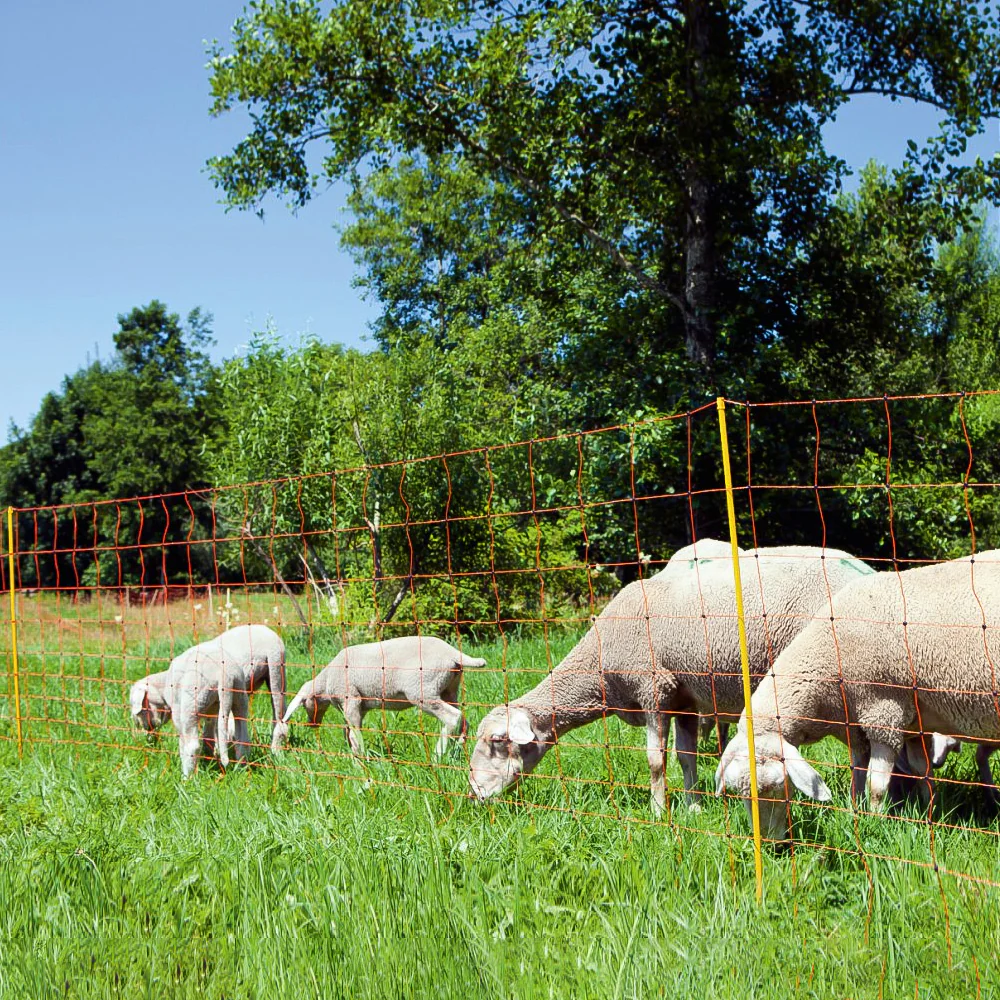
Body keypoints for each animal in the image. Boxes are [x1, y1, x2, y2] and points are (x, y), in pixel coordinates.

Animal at [128, 624, 288, 754]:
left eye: (141, 707)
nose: (147, 737)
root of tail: (272, 637)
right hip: (276, 675)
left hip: (275, 670)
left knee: (278, 715)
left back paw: (275, 750)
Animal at [282, 635, 486, 759]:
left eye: (304, 704)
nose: (312, 724)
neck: (326, 682)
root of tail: (453, 653)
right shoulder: (361, 706)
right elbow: (349, 730)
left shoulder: (352, 699)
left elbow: (354, 733)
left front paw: (360, 759)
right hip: (448, 689)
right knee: (463, 720)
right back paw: (457, 750)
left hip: (422, 691)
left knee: (453, 717)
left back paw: (438, 754)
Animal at [468, 543, 873, 813]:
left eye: (497, 741)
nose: (473, 793)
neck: (600, 666)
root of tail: (864, 569)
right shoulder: (686, 701)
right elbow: (685, 756)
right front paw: (694, 807)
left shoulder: (655, 691)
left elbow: (655, 760)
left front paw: (659, 811)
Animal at [715, 551, 1000, 841]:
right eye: (739, 793)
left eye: (777, 786)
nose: (770, 844)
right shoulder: (890, 725)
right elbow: (912, 772)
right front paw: (925, 809)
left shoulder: (884, 714)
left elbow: (876, 784)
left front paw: (876, 821)